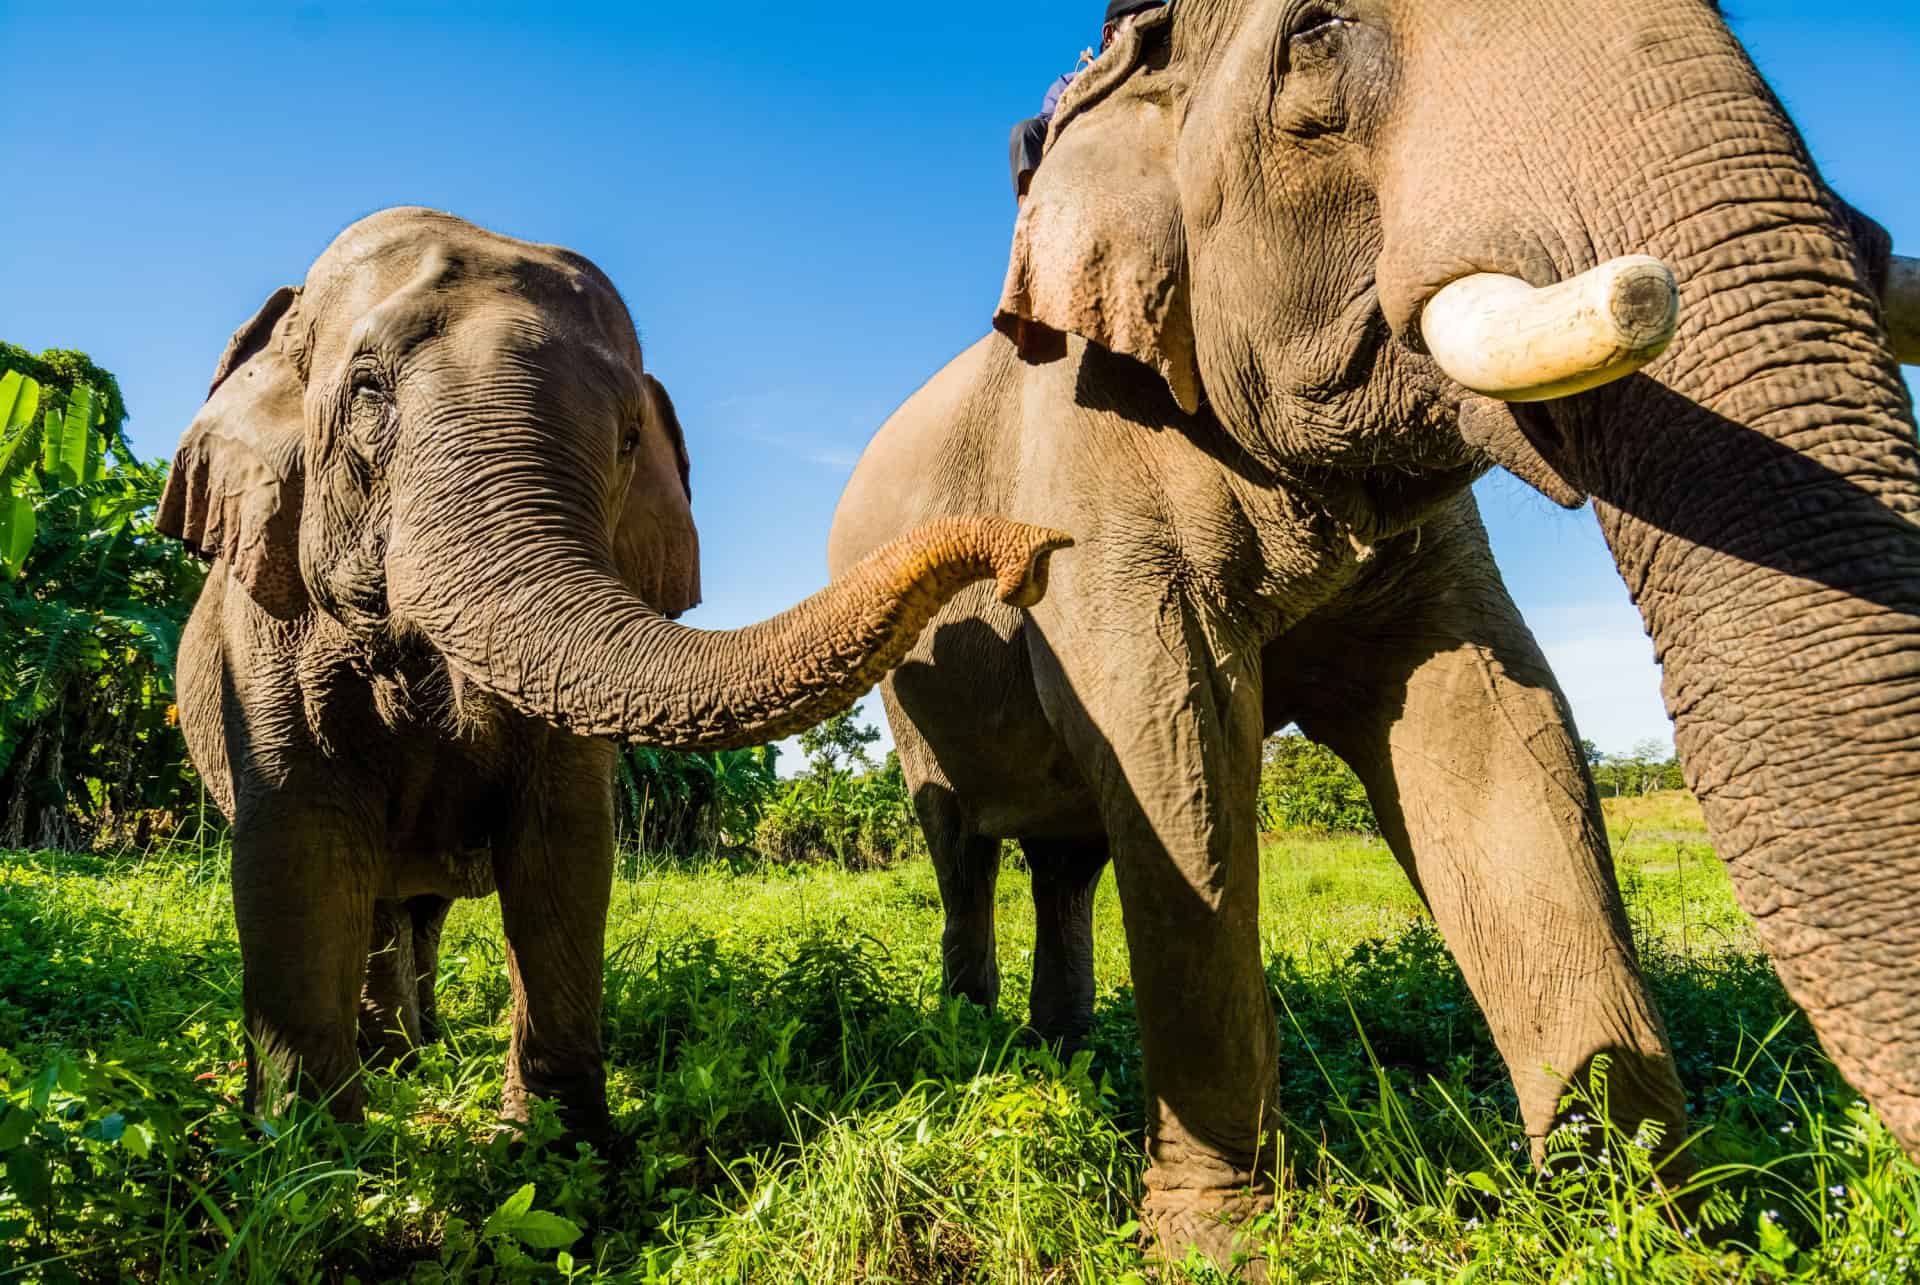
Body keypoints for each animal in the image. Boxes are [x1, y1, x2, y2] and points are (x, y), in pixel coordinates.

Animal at [157, 208, 1075, 1129]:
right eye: (368, 389)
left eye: (628, 436)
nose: (1038, 554)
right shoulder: (258, 633)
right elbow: (296, 842)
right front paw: (307, 1143)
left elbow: (564, 843)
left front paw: (556, 1146)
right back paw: (394, 1059)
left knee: (417, 905)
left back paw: (417, 1051)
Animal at [829, 0, 1920, 1267]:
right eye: (1317, 34)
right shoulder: (1090, 464)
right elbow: (1176, 747)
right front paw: (1223, 1253)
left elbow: (1497, 736)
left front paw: (1652, 1227)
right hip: (905, 687)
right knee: (961, 842)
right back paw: (981, 1051)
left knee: (1065, 859)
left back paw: (1064, 1052)